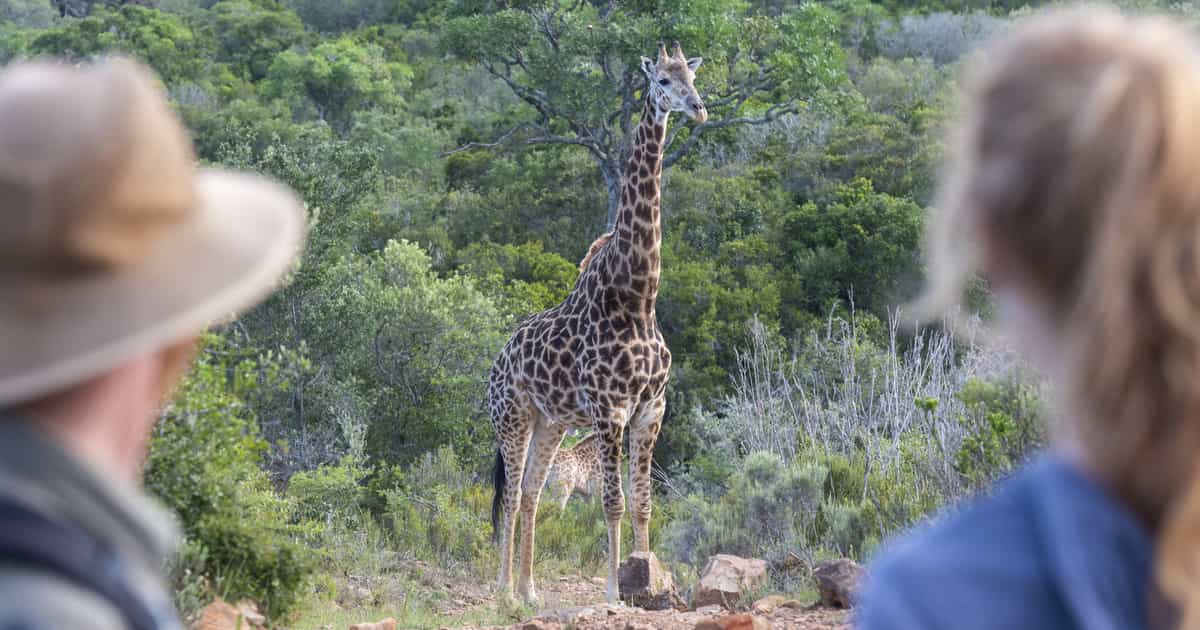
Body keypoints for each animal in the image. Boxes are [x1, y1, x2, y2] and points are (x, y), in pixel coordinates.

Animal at [487, 41, 706, 607]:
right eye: (663, 82)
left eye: (693, 77)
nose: (698, 109)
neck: (637, 299)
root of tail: (497, 360)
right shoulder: (610, 411)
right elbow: (612, 501)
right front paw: (612, 589)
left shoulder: (652, 408)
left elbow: (644, 501)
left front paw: (649, 577)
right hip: (512, 417)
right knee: (511, 494)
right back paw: (503, 590)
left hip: (552, 422)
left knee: (530, 492)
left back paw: (530, 591)